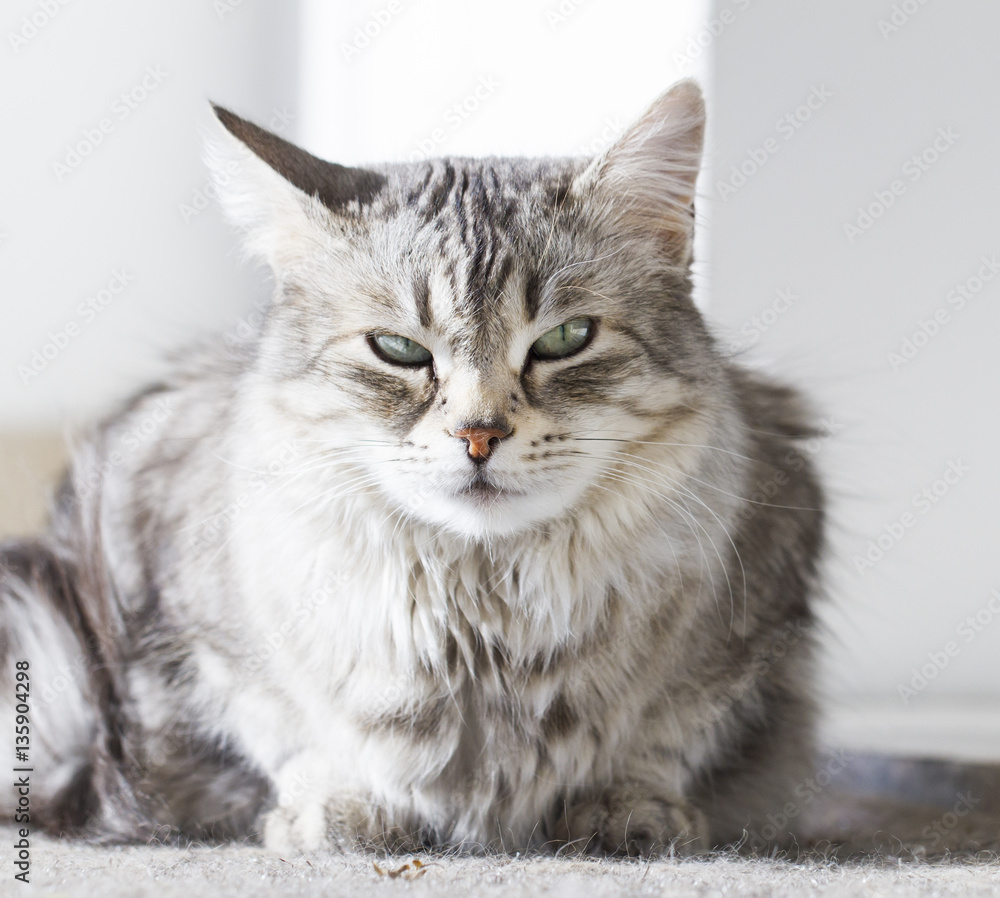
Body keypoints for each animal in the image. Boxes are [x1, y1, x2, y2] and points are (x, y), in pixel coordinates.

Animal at [1, 79, 828, 856]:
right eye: (398, 350)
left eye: (565, 338)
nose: (478, 434)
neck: (485, 619)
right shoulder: (197, 635)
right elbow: (291, 736)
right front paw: (339, 810)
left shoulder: (752, 636)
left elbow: (661, 741)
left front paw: (628, 811)